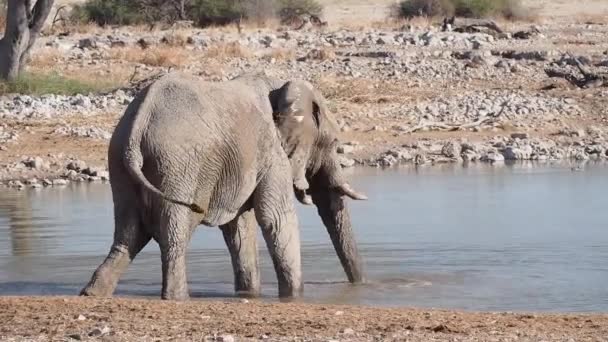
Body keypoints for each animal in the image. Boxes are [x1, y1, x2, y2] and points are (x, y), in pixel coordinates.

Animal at [80, 71, 366, 300]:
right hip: (177, 166)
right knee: (174, 233)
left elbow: (238, 226)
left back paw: (93, 293)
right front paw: (293, 297)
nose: (360, 285)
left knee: (128, 235)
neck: (281, 86)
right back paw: (178, 297)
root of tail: (136, 127)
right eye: (334, 143)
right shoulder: (273, 153)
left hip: (120, 164)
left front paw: (249, 295)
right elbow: (275, 217)